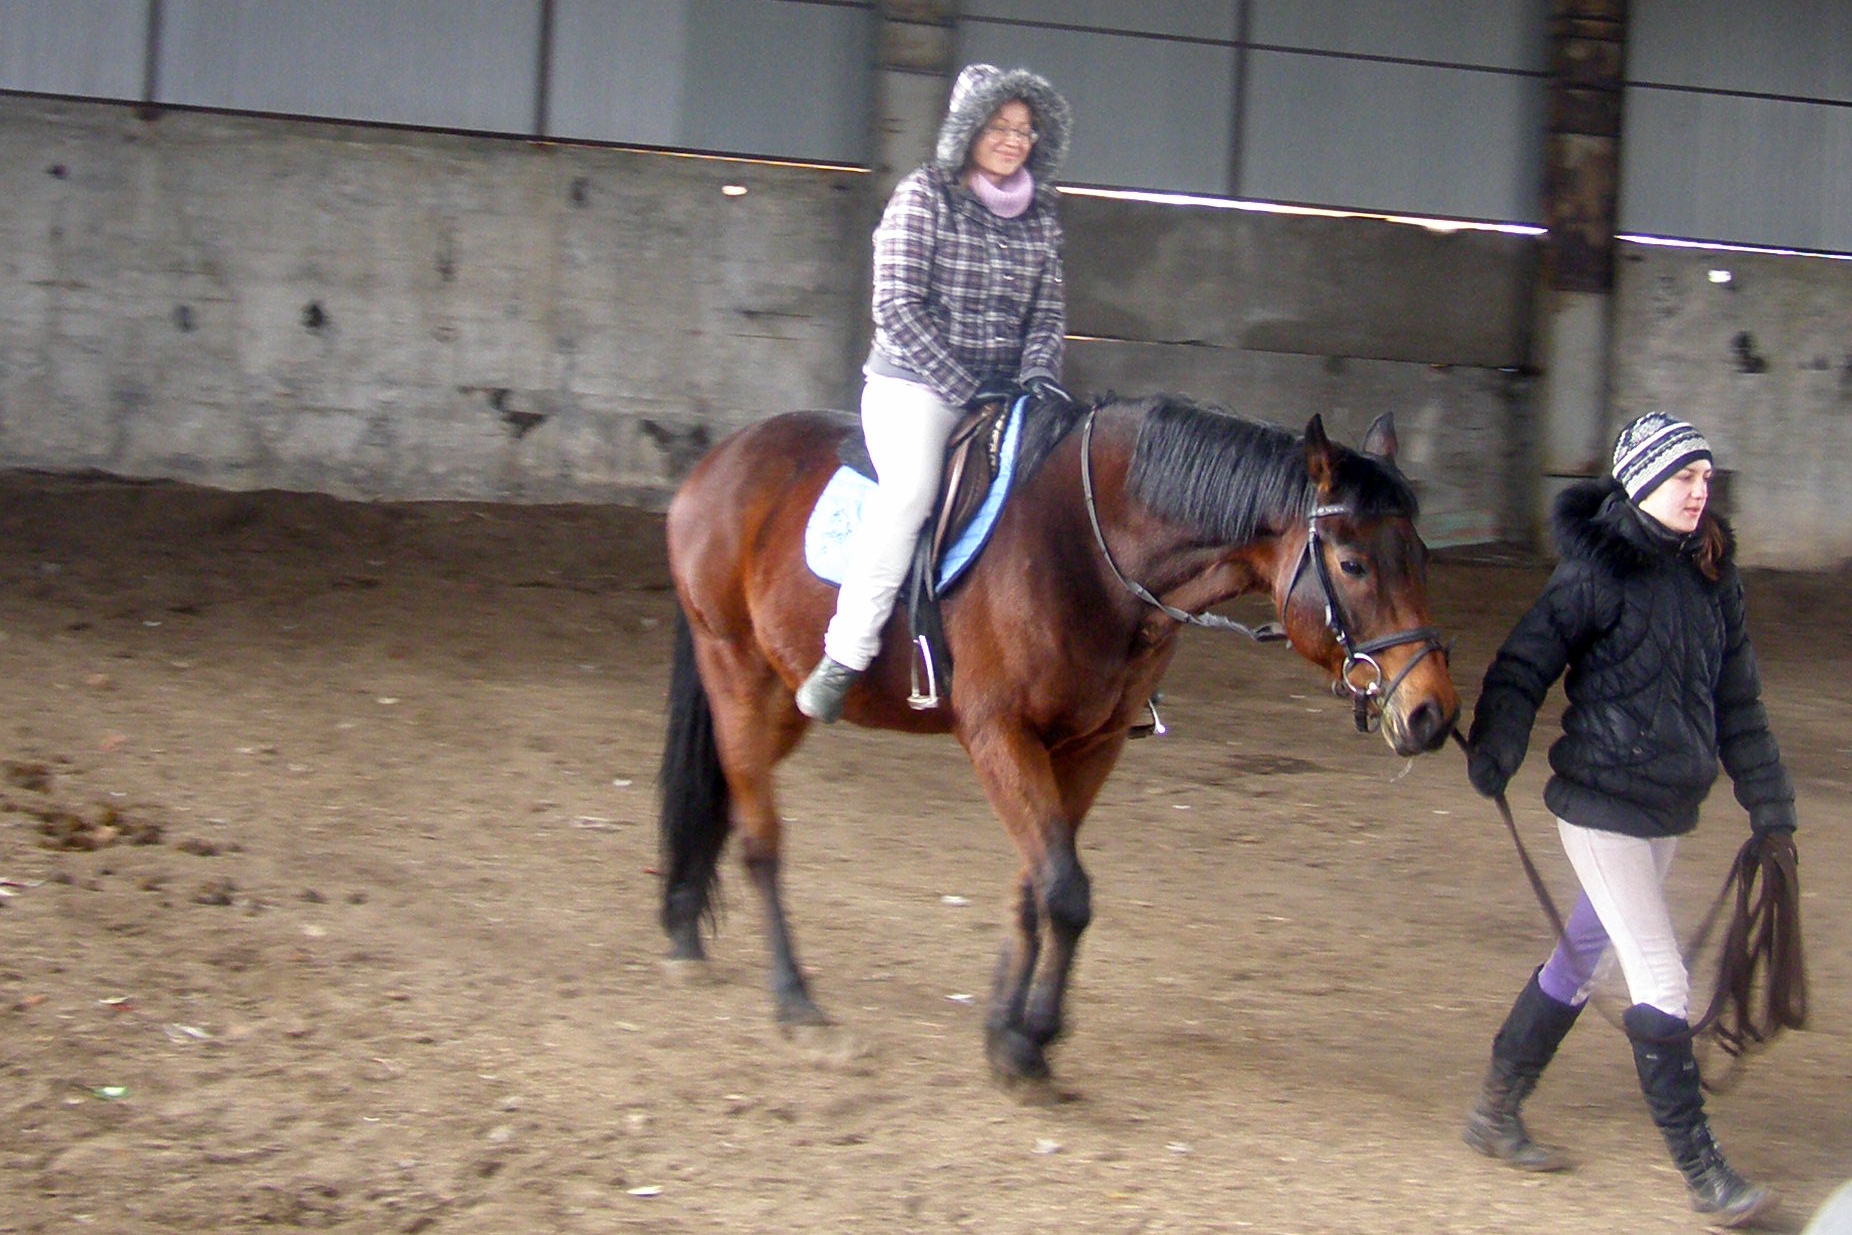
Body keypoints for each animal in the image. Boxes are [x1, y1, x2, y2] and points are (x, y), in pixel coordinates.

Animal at [657, 393, 1460, 1086]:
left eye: (1421, 557)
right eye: (1352, 564)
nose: (1432, 713)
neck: (1093, 553)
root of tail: (720, 460)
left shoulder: (1088, 745)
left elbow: (1039, 884)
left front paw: (1009, 1025)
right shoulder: (1000, 735)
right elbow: (1067, 892)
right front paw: (1027, 1043)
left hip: (783, 698)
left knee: (725, 795)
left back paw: (683, 927)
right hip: (736, 673)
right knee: (760, 838)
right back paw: (796, 1005)